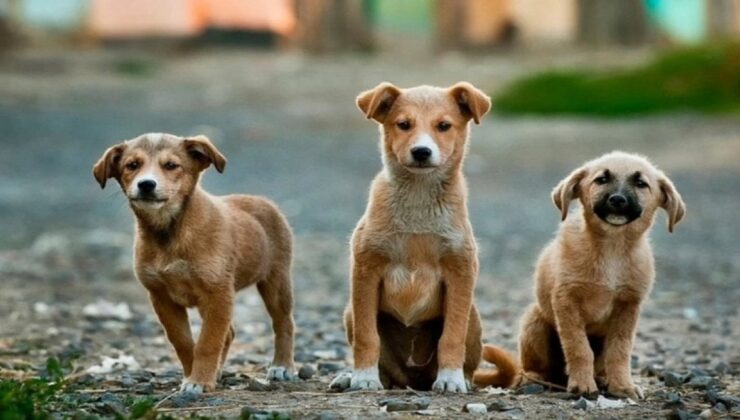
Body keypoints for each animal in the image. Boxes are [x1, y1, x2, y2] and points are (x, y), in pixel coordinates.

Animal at [94, 134, 296, 394]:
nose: (146, 184)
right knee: (229, 333)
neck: (170, 232)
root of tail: (263, 201)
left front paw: (199, 381)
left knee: (283, 323)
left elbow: (208, 342)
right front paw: (194, 375)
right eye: (132, 165)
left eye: (171, 165)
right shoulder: (161, 297)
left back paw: (282, 366)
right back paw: (218, 372)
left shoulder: (218, 293)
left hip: (276, 281)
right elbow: (183, 342)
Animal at [332, 83, 516, 394]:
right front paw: (363, 377)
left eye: (444, 126)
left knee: (467, 358)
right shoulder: (366, 269)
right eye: (403, 124)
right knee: (384, 366)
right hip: (349, 313)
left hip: (473, 316)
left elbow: (451, 336)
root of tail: (413, 380)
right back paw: (355, 377)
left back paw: (462, 378)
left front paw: (451, 378)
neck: (418, 199)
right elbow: (367, 336)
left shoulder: (460, 271)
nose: (421, 152)